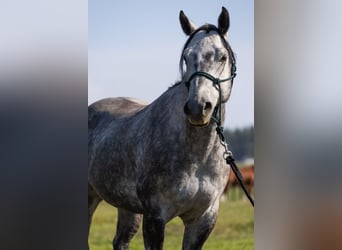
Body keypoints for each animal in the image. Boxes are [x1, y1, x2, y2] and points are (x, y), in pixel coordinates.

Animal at [88, 6, 236, 249]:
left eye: (222, 56)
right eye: (186, 57)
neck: (196, 156)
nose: (197, 107)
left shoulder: (203, 219)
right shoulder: (155, 217)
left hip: (127, 207)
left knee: (120, 241)